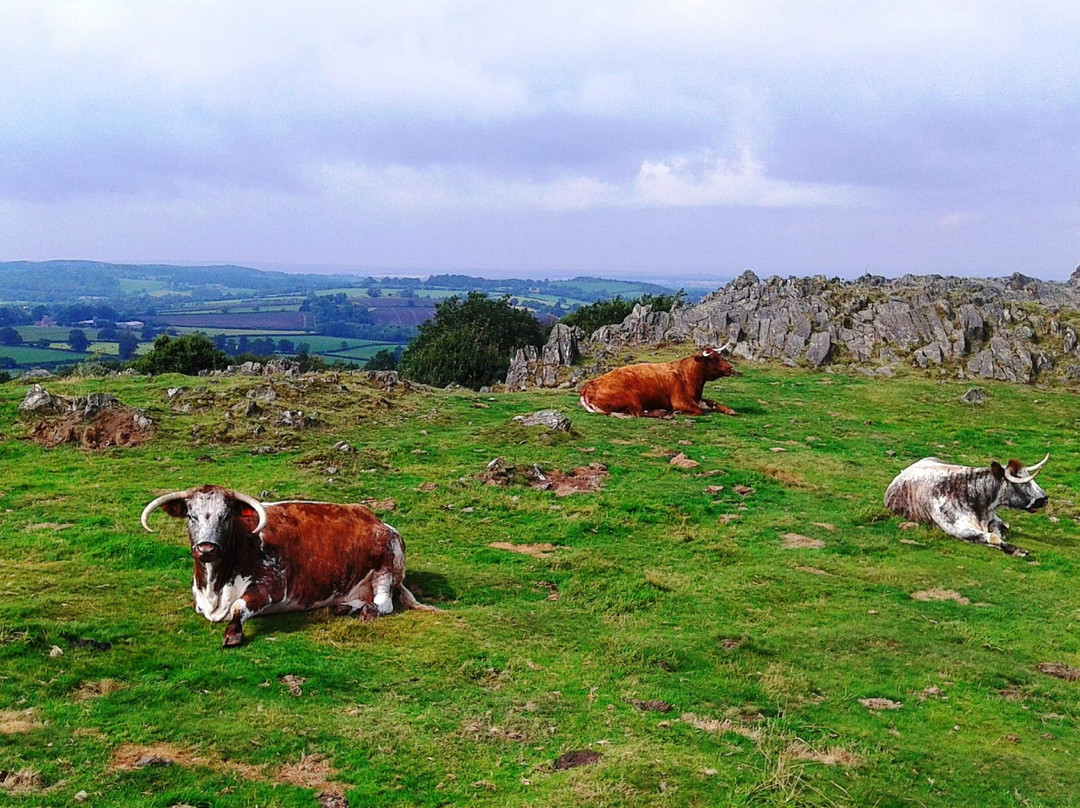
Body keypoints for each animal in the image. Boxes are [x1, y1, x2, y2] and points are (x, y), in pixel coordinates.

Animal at [139, 483, 434, 648]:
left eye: (226, 516)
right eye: (191, 516)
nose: (207, 548)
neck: (214, 587)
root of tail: (377, 520)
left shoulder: (273, 585)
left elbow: (239, 606)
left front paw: (233, 634)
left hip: (386, 566)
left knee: (384, 603)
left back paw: (367, 610)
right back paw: (344, 607)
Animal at [578, 343, 738, 416]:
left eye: (720, 356)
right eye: (713, 359)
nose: (730, 368)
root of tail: (587, 386)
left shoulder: (697, 398)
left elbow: (712, 402)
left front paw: (730, 410)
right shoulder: (680, 401)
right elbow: (700, 411)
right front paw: (677, 412)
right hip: (632, 398)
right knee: (639, 413)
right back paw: (661, 412)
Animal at [885, 453, 1045, 557]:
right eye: (1021, 481)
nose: (1044, 498)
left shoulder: (993, 521)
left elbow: (998, 532)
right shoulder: (958, 528)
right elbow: (993, 537)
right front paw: (1017, 550)